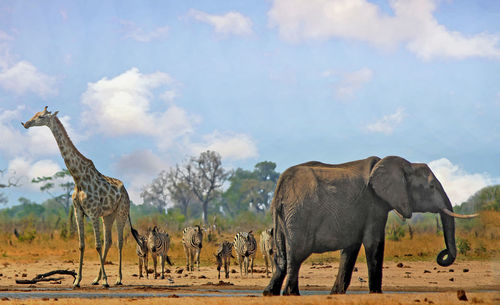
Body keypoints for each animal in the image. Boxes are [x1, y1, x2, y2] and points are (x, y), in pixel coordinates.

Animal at [22, 105, 141, 286]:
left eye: (41, 117)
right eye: (35, 114)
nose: (26, 123)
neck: (78, 177)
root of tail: (126, 190)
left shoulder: (92, 212)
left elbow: (96, 245)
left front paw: (105, 281)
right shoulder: (79, 212)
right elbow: (81, 245)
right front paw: (77, 280)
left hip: (121, 211)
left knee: (119, 242)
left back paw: (117, 279)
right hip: (108, 215)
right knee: (109, 241)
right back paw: (96, 279)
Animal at [262, 156, 476, 294]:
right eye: (431, 187)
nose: (442, 255)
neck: (405, 165)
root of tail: (280, 189)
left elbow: (350, 250)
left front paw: (336, 294)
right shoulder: (374, 206)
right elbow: (374, 245)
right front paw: (376, 294)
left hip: (282, 216)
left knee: (282, 257)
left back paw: (269, 293)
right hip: (300, 215)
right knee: (296, 256)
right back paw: (290, 294)